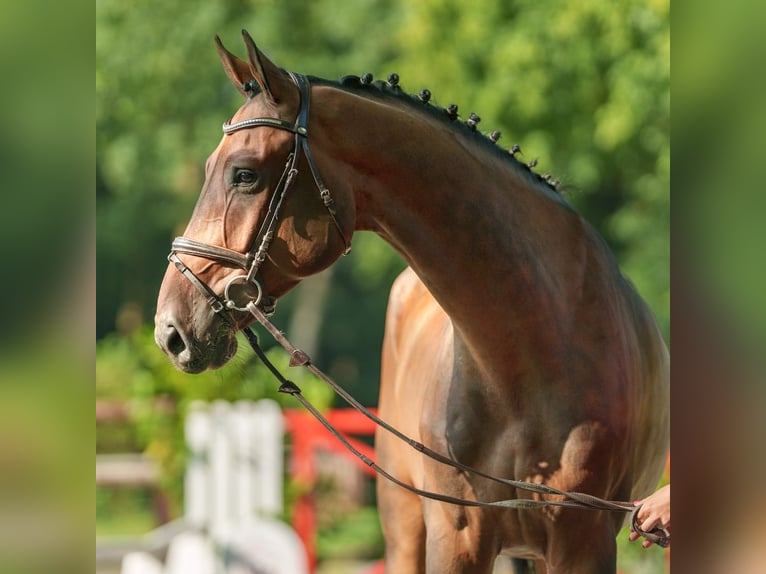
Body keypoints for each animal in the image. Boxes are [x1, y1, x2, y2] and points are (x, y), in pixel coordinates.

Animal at [153, 32, 668, 574]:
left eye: (244, 175)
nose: (170, 331)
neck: (531, 351)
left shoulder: (582, 543)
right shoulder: (456, 536)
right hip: (404, 527)